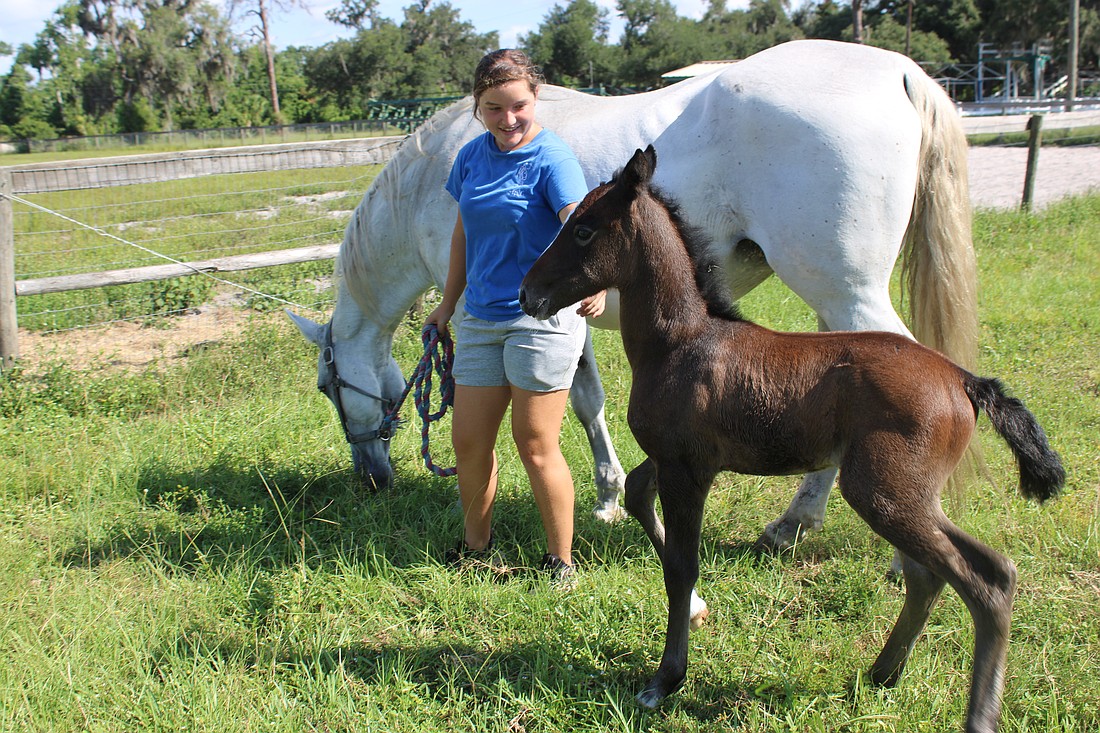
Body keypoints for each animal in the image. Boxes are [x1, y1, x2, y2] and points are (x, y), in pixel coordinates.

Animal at [289, 39, 977, 546]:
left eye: (327, 386)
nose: (371, 479)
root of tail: (898, 71)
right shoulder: (569, 314)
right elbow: (588, 400)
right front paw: (610, 495)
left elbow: (576, 403)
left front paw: (604, 497)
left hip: (849, 294)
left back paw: (804, 526)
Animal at [519, 146, 1064, 731]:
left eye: (582, 230)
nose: (528, 292)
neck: (681, 342)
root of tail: (964, 380)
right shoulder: (670, 459)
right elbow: (641, 497)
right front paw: (697, 612)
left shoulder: (689, 469)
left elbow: (683, 567)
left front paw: (665, 680)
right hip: (907, 494)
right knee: (939, 573)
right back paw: (882, 673)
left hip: (884, 491)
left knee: (985, 580)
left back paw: (976, 712)